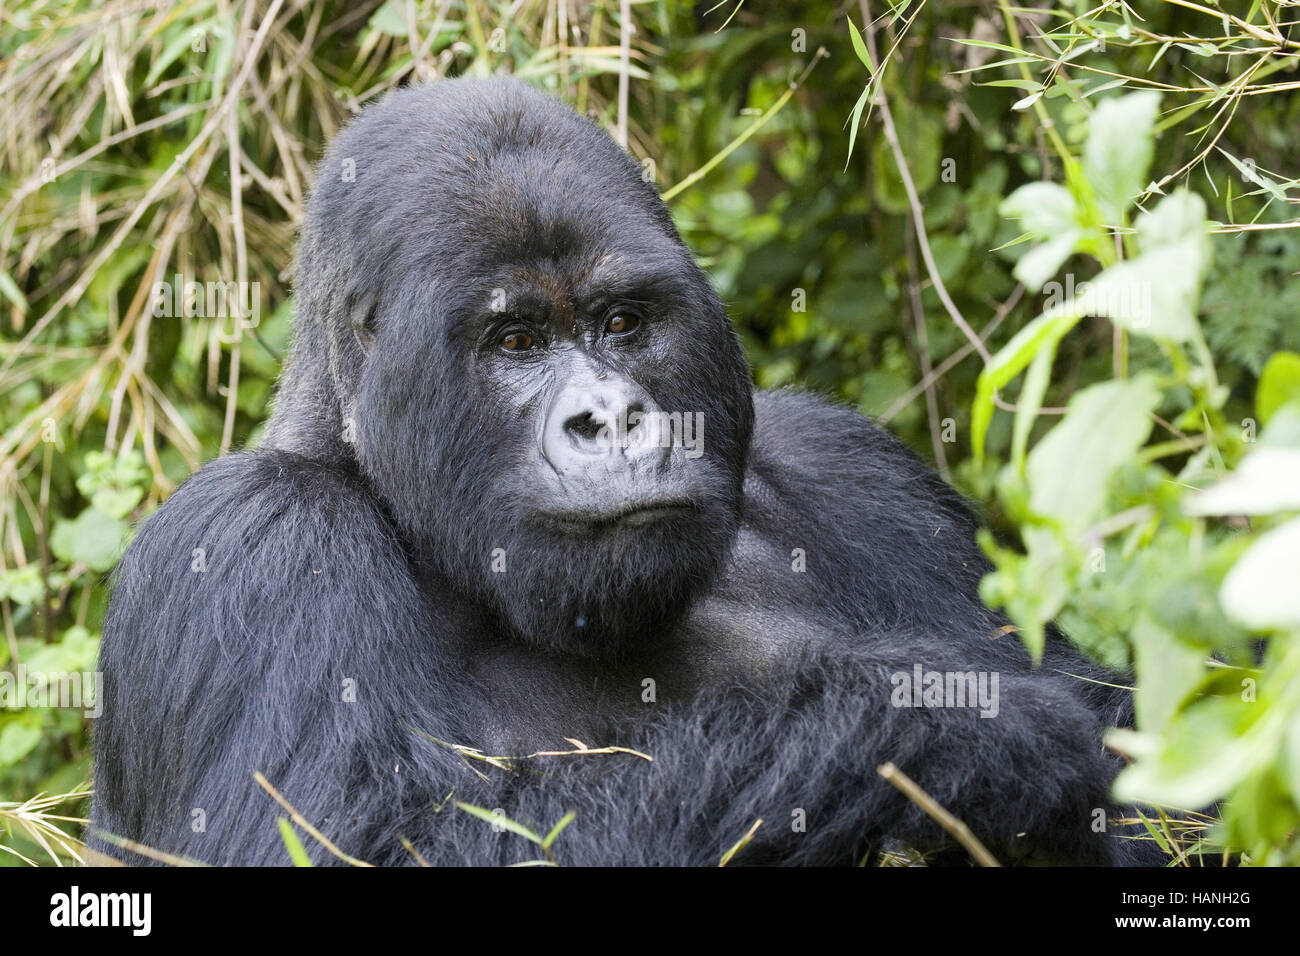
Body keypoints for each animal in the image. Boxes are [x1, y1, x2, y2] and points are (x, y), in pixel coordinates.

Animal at [89, 76, 1149, 868]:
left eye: (623, 322)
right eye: (516, 340)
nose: (611, 417)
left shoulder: (853, 469)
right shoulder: (248, 537)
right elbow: (349, 838)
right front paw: (955, 729)